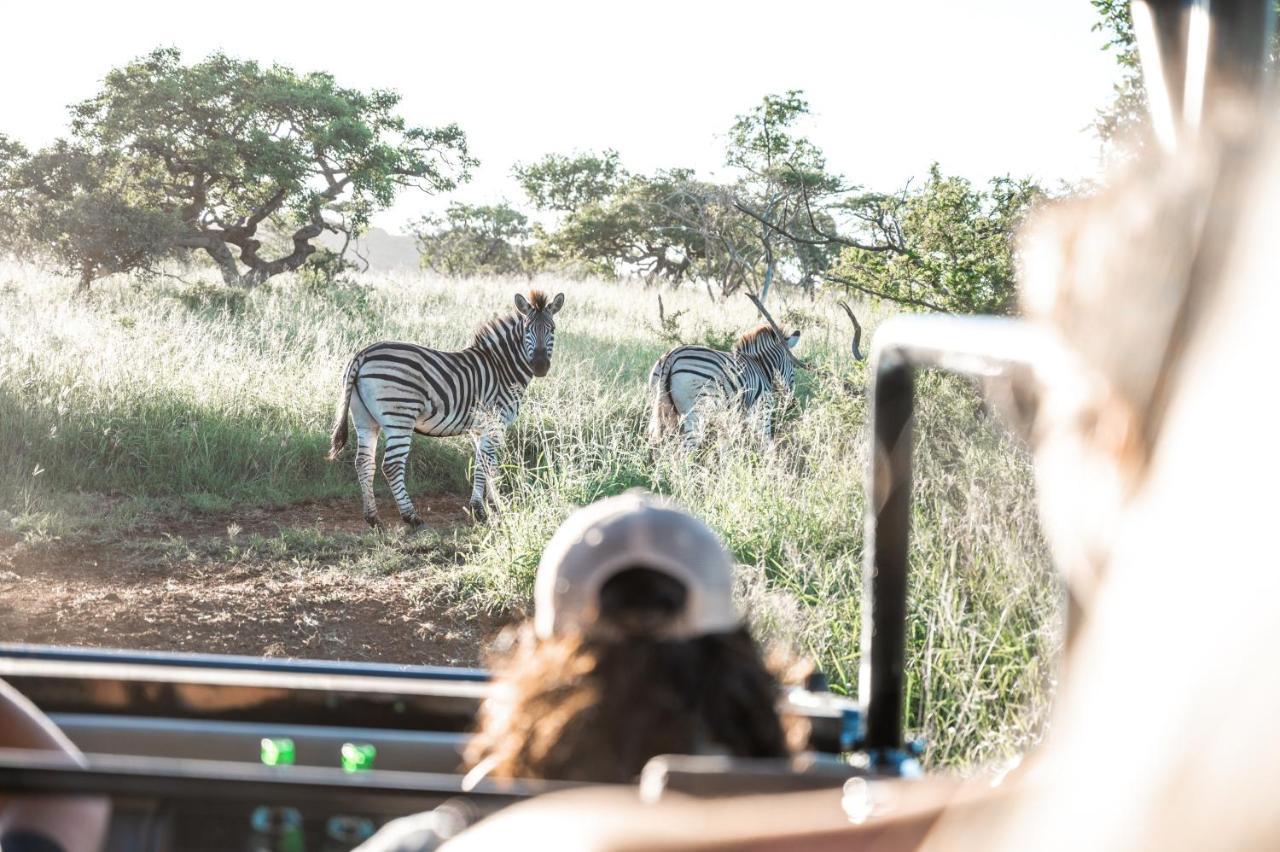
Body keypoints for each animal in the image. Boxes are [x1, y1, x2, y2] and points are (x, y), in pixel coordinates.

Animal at [330, 290, 565, 524]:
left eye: (552, 329)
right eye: (527, 329)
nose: (540, 366)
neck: (502, 368)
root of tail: (362, 354)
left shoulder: (479, 428)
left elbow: (485, 464)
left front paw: (492, 506)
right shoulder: (493, 422)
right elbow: (486, 466)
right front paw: (484, 509)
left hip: (365, 420)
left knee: (364, 463)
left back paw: (372, 518)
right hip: (400, 417)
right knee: (392, 465)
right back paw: (411, 517)